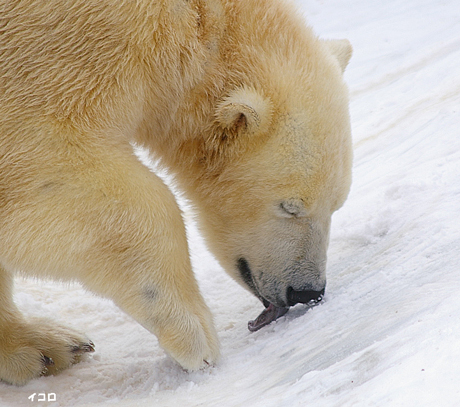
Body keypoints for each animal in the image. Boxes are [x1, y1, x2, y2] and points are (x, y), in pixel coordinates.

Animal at [0, 0, 352, 386]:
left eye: (337, 205)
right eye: (289, 206)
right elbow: (47, 169)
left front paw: (36, 347)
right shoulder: (55, 55)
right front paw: (194, 336)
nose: (307, 291)